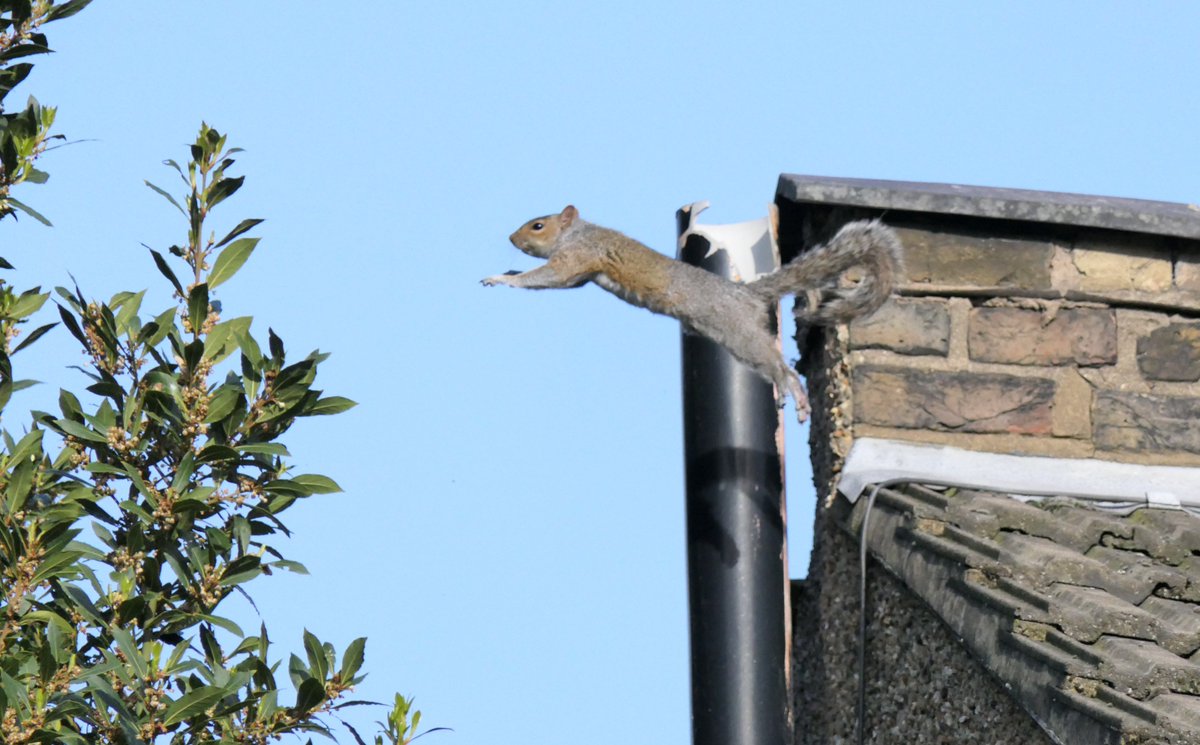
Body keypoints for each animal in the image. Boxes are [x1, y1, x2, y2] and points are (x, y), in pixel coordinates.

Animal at [482, 205, 902, 421]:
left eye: (538, 225)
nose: (511, 239)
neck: (577, 233)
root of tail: (742, 294)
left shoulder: (579, 257)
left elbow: (549, 277)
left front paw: (502, 280)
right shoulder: (580, 271)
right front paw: (510, 272)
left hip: (738, 333)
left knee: (778, 366)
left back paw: (794, 393)